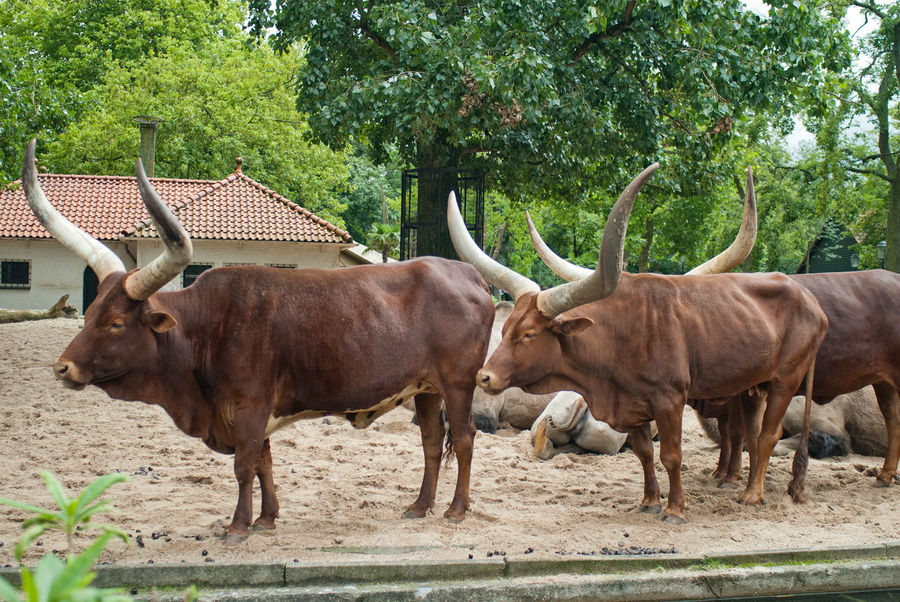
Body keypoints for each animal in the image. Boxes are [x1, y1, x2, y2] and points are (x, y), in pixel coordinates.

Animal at [21, 141, 496, 540]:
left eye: (118, 322)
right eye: (91, 312)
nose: (63, 367)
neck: (207, 328)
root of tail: (467, 273)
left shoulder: (249, 407)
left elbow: (244, 465)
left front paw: (238, 526)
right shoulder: (254, 411)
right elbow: (265, 463)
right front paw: (267, 518)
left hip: (458, 383)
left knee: (465, 437)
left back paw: (456, 509)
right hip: (426, 389)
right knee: (432, 440)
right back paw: (420, 505)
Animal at [450, 164, 828, 520]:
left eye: (529, 334)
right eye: (505, 329)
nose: (484, 377)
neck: (619, 339)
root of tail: (811, 301)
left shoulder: (669, 401)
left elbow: (672, 455)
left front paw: (674, 509)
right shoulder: (632, 405)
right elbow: (646, 454)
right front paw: (649, 502)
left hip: (786, 380)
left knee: (768, 435)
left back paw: (752, 495)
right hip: (751, 388)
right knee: (748, 434)